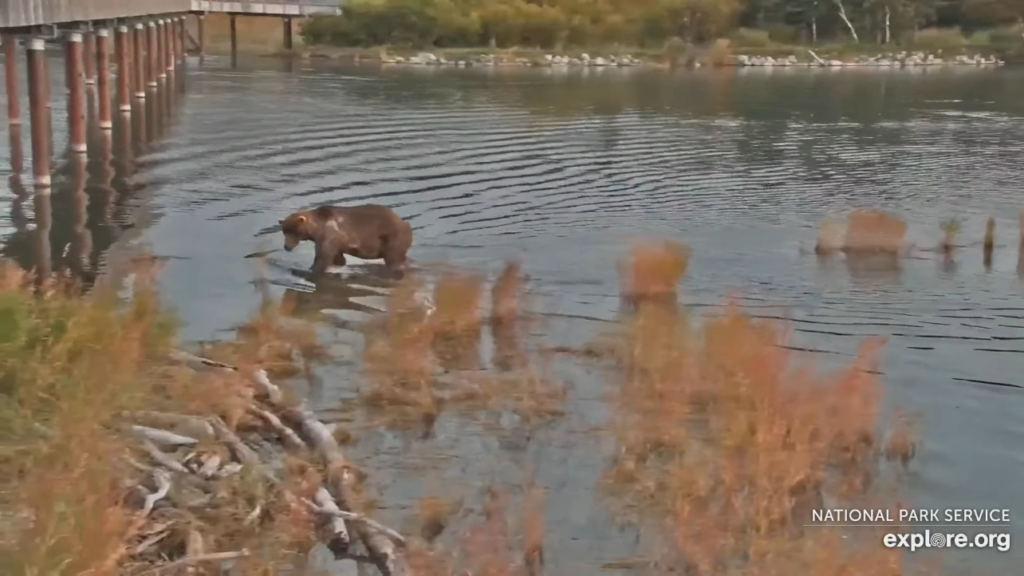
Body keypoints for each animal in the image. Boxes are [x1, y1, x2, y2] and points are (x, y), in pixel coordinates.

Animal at [280, 202, 411, 274]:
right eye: (284, 232)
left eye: (293, 232)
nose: (286, 246)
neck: (316, 228)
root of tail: (403, 222)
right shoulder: (334, 241)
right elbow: (338, 258)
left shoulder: (328, 235)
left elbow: (322, 258)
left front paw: (309, 269)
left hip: (392, 236)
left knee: (393, 258)